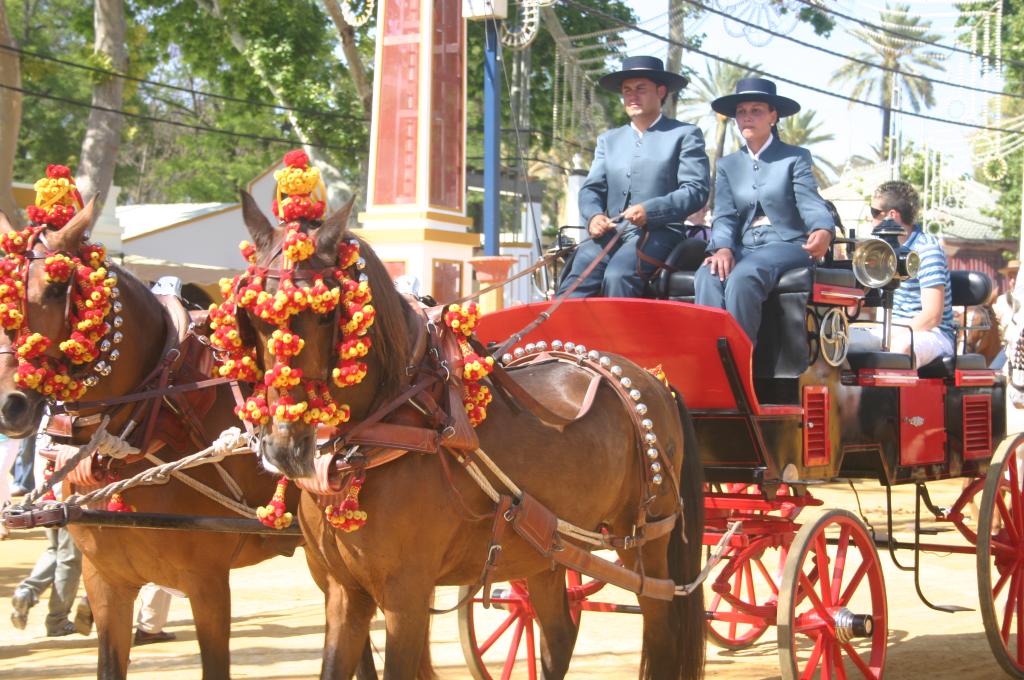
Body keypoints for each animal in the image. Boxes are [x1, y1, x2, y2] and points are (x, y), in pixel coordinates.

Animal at [235, 193, 708, 680]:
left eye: (328, 313)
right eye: (251, 315)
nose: (284, 446)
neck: (393, 426)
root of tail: (651, 378)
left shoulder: (407, 594)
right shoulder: (342, 593)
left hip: (647, 539)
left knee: (661, 624)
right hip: (547, 548)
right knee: (559, 632)